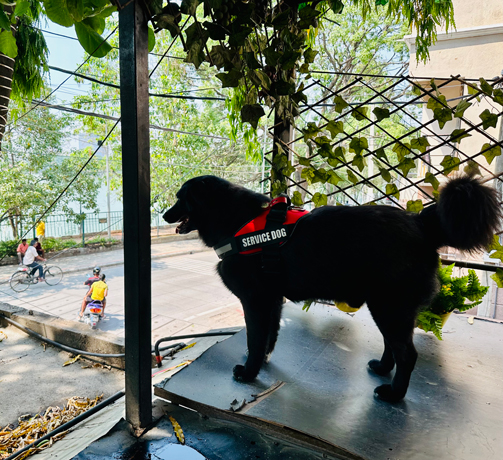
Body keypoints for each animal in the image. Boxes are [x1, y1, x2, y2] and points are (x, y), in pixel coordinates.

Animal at [163, 175, 500, 402]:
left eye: (182, 197)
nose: (165, 215)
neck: (236, 221)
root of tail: (420, 223)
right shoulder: (272, 301)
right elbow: (269, 336)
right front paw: (263, 362)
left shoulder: (255, 301)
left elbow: (255, 340)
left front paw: (249, 372)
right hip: (389, 309)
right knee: (393, 345)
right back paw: (382, 368)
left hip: (389, 307)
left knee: (407, 354)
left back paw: (394, 394)